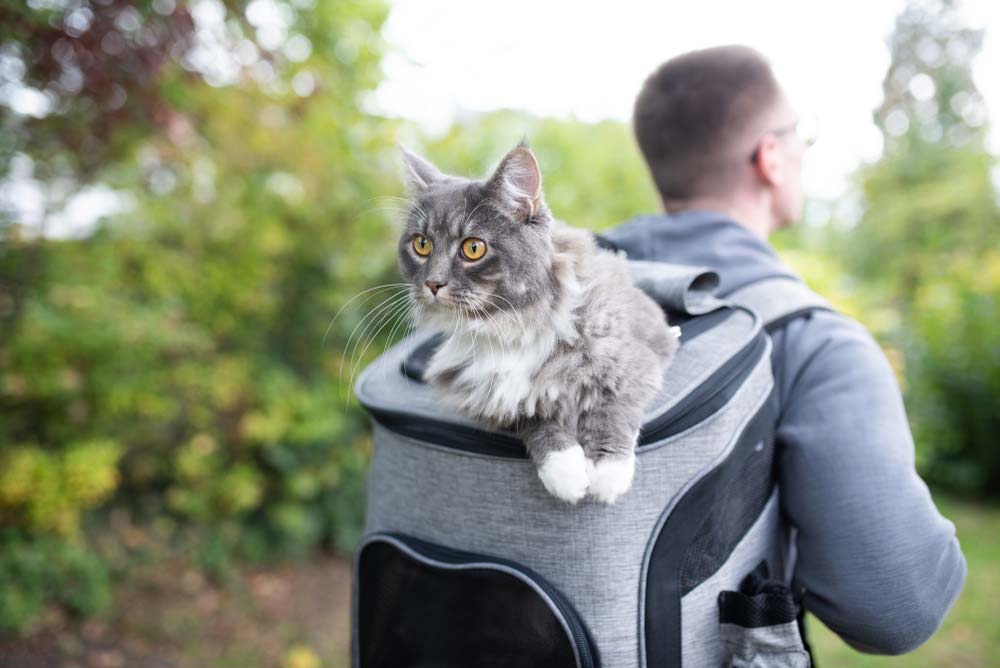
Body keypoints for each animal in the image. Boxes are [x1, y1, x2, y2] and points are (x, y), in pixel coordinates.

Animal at [396, 144, 680, 504]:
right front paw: (566, 473)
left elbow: (612, 408)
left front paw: (606, 473)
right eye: (421, 244)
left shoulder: (634, 361)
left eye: (473, 248)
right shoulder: (482, 396)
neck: (508, 327)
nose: (432, 283)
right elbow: (533, 416)